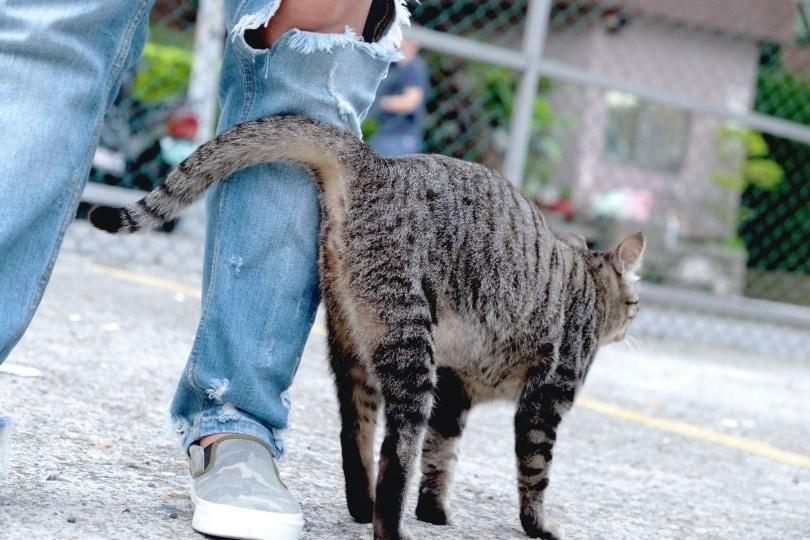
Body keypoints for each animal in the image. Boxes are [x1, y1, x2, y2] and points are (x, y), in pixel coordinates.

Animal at [88, 117, 644, 540]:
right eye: (636, 304)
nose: (633, 322)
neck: (586, 283)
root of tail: (376, 163)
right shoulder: (544, 399)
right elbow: (533, 474)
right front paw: (537, 527)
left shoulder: (455, 391)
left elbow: (441, 459)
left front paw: (435, 512)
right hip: (409, 344)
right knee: (395, 453)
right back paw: (388, 528)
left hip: (354, 339)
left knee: (353, 430)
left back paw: (362, 505)